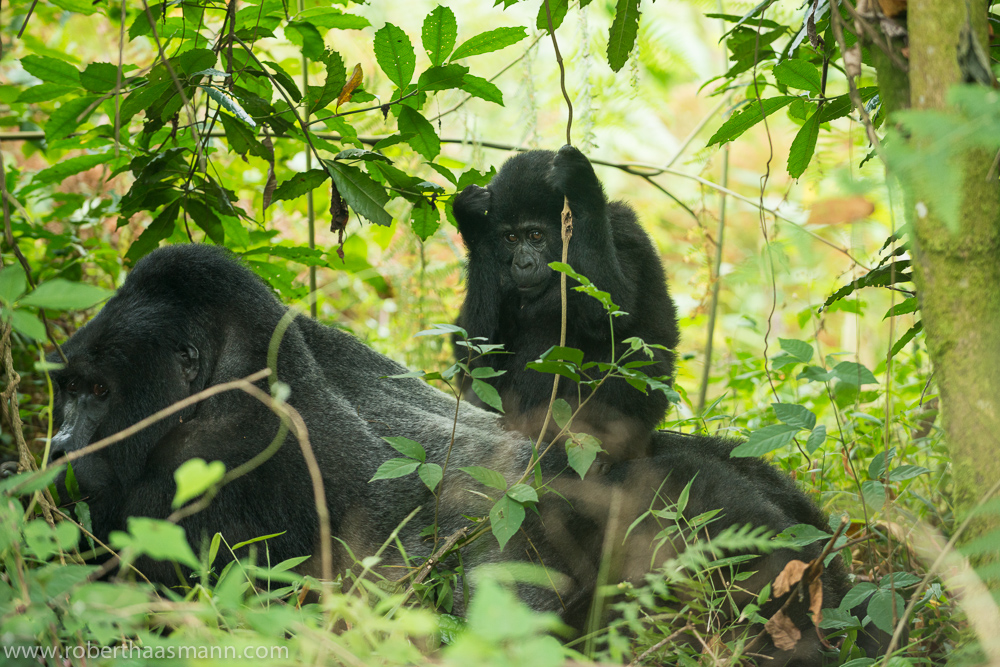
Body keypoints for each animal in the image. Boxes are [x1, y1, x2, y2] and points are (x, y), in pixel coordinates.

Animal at [454, 144, 680, 462]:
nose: (522, 264)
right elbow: (483, 355)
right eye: (510, 237)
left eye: (536, 235)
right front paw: (472, 221)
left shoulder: (625, 231)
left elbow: (611, 314)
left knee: (629, 356)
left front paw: (581, 186)